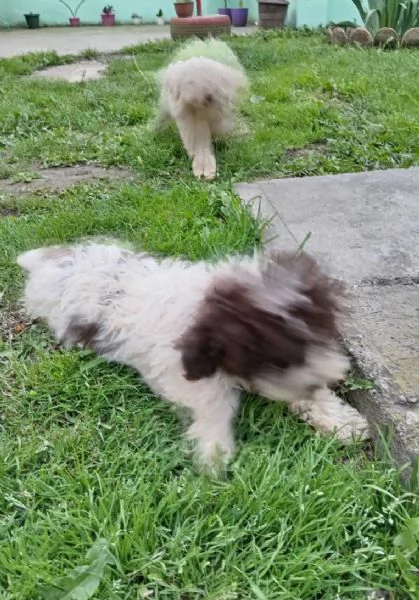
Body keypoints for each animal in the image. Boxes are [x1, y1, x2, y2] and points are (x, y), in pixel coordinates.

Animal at [16, 241, 370, 466]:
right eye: (277, 356)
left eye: (319, 334)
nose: (334, 374)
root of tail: (58, 259)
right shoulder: (180, 369)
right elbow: (213, 401)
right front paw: (214, 450)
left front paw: (340, 420)